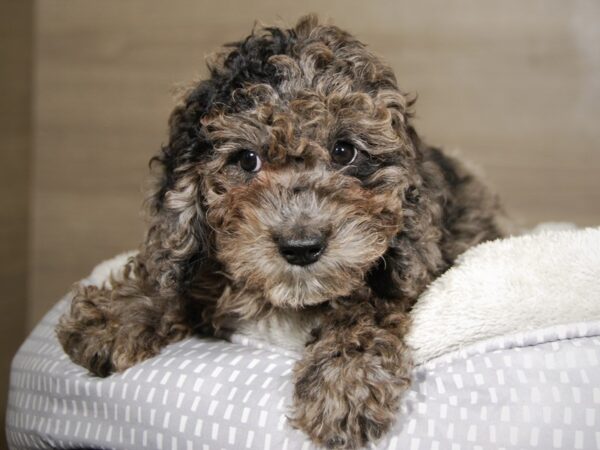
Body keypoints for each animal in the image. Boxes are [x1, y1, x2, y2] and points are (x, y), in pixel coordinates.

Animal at [58, 14, 504, 450]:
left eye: (345, 151)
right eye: (246, 160)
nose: (302, 247)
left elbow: (366, 307)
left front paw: (344, 381)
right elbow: (179, 279)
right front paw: (119, 315)